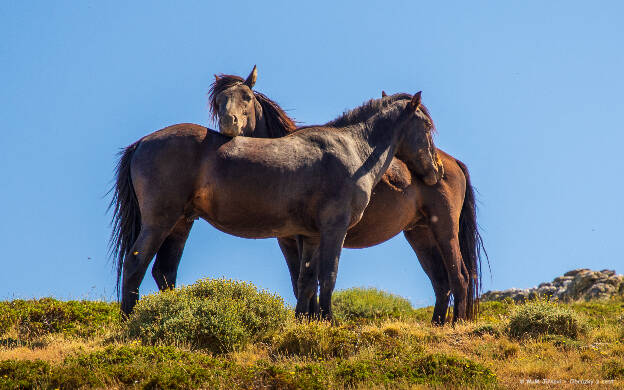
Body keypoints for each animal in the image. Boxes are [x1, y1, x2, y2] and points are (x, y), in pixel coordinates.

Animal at [109, 88, 442, 316]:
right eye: (426, 126)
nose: (437, 170)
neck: (353, 151)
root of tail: (142, 143)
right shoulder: (334, 229)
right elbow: (328, 276)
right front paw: (329, 322)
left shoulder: (310, 235)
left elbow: (306, 281)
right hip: (160, 221)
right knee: (136, 263)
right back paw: (130, 321)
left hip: (181, 223)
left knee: (164, 271)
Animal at [207, 66, 486, 322]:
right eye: (218, 102)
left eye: (246, 97)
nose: (228, 123)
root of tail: (453, 163)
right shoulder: (291, 240)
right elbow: (302, 282)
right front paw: (307, 319)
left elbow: (317, 279)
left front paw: (318, 319)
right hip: (420, 233)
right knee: (442, 282)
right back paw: (438, 325)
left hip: (444, 229)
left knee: (459, 276)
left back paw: (456, 324)